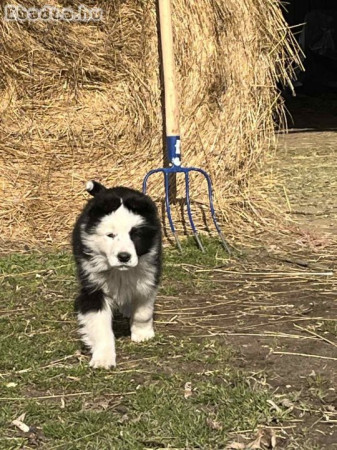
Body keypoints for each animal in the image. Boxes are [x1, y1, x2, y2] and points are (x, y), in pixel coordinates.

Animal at [71, 180, 161, 370]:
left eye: (135, 235)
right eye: (110, 235)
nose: (124, 257)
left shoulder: (148, 276)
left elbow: (143, 311)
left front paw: (142, 334)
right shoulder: (93, 289)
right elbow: (100, 326)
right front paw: (103, 358)